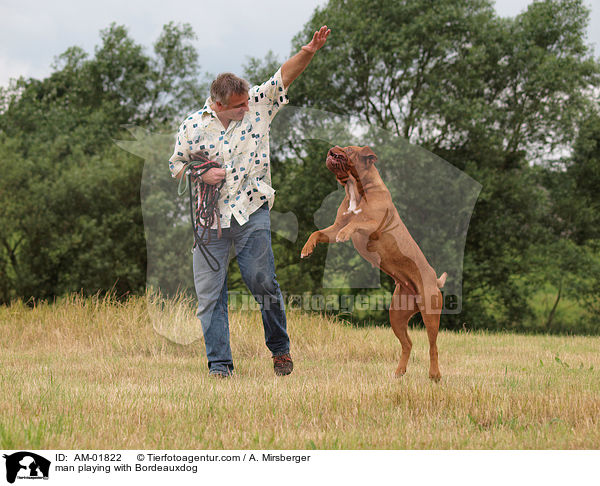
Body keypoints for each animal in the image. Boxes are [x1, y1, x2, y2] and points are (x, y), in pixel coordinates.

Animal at [302, 146, 448, 382]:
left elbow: (356, 222)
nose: (332, 150)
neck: (355, 188)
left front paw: (345, 234)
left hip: (430, 313)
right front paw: (307, 249)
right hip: (396, 315)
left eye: (349, 150)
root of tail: (434, 279)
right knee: (407, 343)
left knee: (432, 345)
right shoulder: (334, 227)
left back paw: (434, 375)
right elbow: (318, 232)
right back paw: (399, 372)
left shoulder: (373, 225)